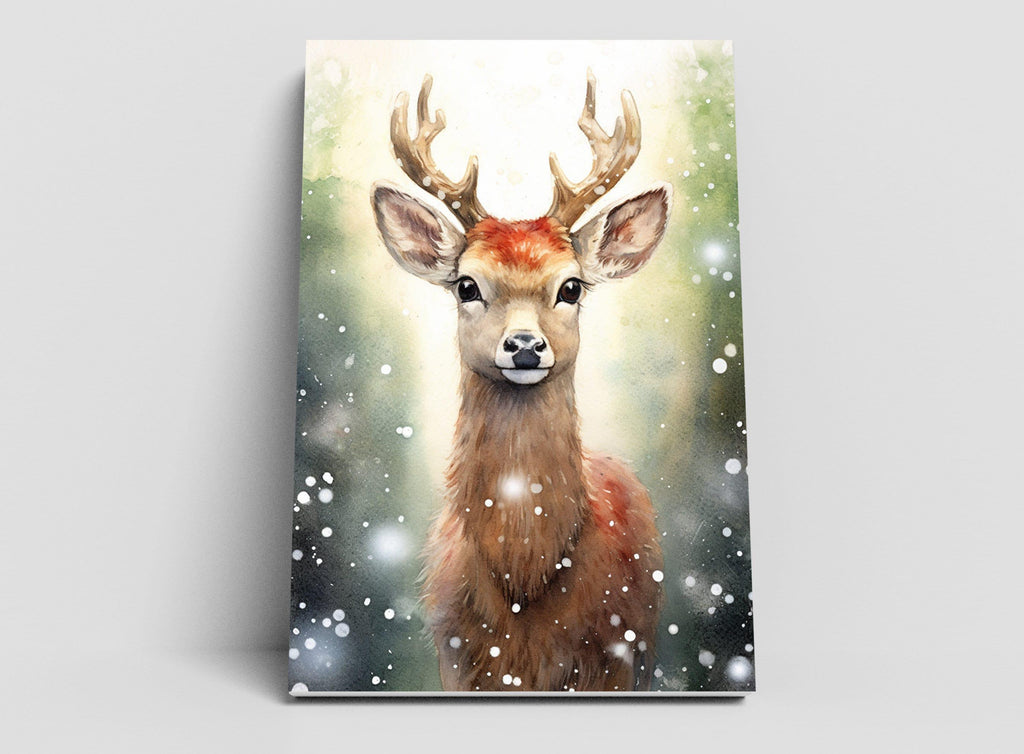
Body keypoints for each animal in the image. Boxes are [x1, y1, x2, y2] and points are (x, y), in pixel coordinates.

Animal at [371, 71, 671, 692]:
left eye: (572, 287)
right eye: (466, 285)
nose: (526, 346)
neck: (524, 583)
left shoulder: (613, 658)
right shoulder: (456, 658)